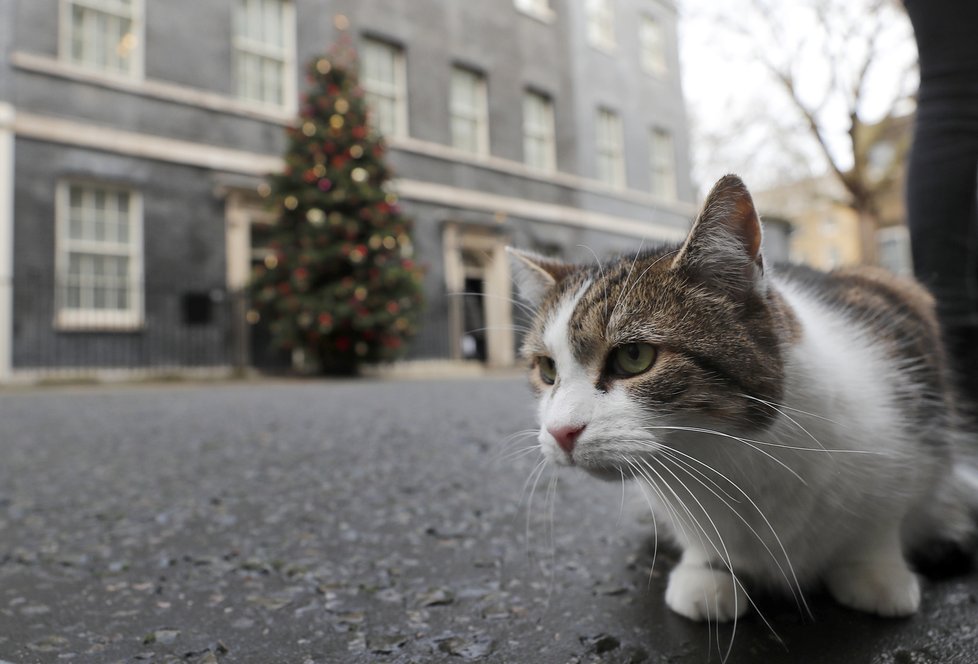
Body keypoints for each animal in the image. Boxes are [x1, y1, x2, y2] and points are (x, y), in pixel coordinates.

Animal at [508, 175, 972, 624]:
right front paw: (707, 571)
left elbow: (883, 521)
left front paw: (876, 571)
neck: (726, 456)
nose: (560, 432)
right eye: (547, 369)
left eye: (634, 356)